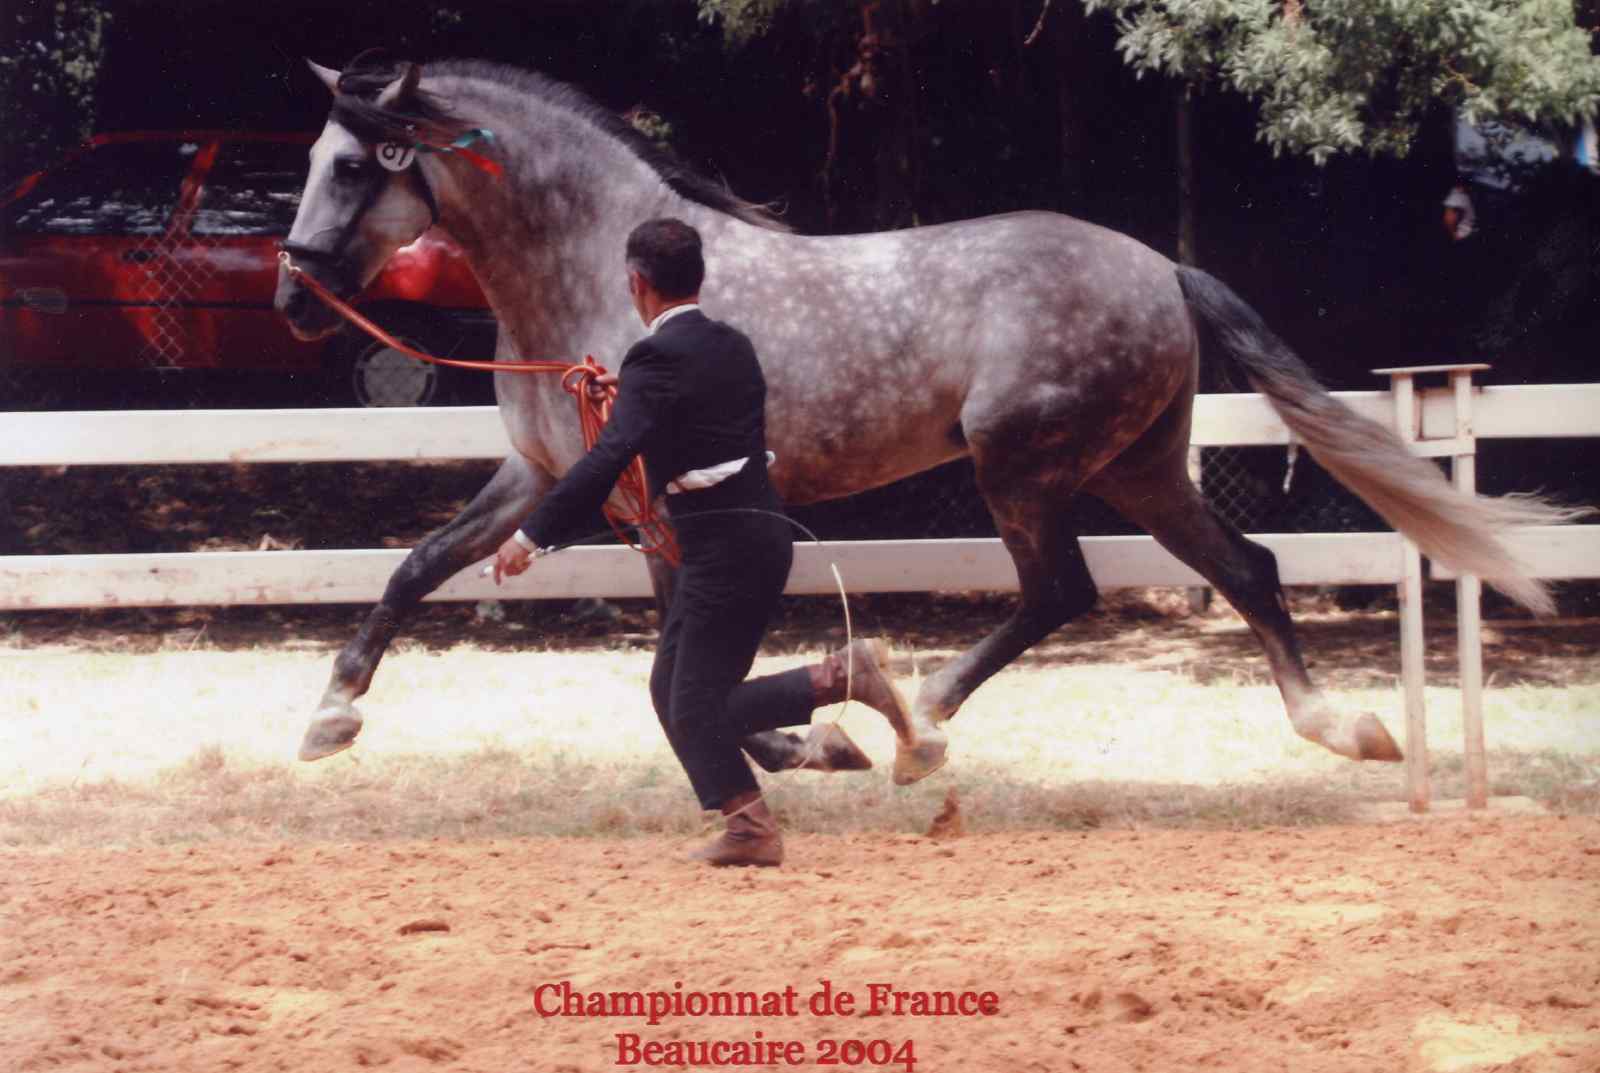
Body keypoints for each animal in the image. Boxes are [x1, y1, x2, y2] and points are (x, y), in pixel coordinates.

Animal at [274, 52, 1576, 784]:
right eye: (318, 154)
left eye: (357, 163)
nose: (290, 293)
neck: (592, 268)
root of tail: (1157, 266)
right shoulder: (544, 473)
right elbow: (415, 567)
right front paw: (331, 714)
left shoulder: (640, 493)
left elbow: (673, 665)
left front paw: (804, 743)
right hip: (1140, 467)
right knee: (1246, 568)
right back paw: (1343, 729)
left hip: (1025, 466)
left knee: (1060, 592)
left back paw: (917, 719)